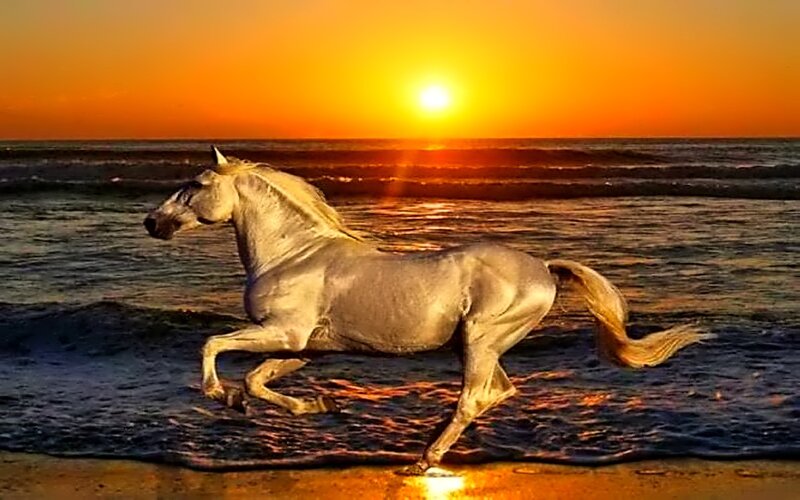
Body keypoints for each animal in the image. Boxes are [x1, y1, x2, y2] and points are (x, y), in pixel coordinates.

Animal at [144, 146, 712, 475]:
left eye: (195, 185)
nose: (152, 222)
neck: (294, 253)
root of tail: (545, 269)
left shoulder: (283, 333)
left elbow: (213, 346)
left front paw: (221, 396)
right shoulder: (304, 348)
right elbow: (258, 381)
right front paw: (317, 406)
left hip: (481, 340)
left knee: (475, 398)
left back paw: (425, 458)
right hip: (477, 345)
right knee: (497, 392)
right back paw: (427, 446)